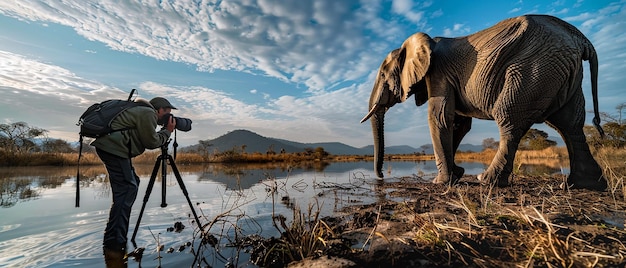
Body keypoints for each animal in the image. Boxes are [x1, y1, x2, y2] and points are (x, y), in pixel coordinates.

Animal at [360, 14, 604, 191]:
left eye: (382, 75)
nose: (381, 177)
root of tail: (581, 40)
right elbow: (459, 124)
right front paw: (457, 174)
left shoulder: (439, 73)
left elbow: (439, 118)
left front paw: (441, 182)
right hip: (563, 72)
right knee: (569, 125)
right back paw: (583, 185)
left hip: (532, 69)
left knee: (510, 118)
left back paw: (486, 180)